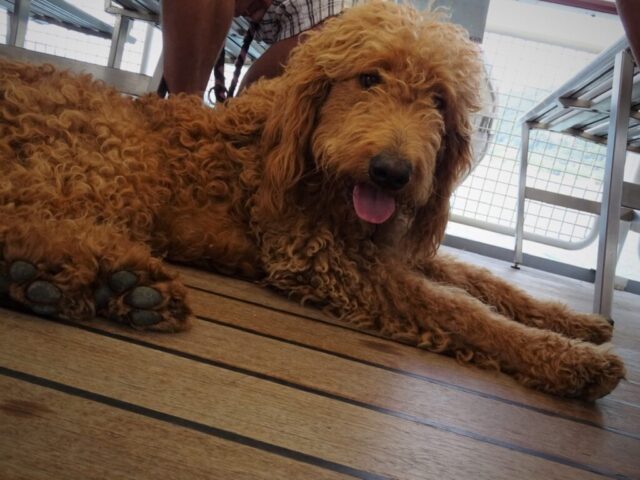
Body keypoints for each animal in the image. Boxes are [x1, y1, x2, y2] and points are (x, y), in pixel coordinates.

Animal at [0, 1, 625, 399]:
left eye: (438, 100)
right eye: (369, 79)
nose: (392, 172)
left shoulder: (390, 249)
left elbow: (483, 281)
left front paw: (574, 323)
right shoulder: (328, 262)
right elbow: (458, 309)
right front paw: (569, 360)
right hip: (112, 164)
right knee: (21, 224)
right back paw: (96, 277)